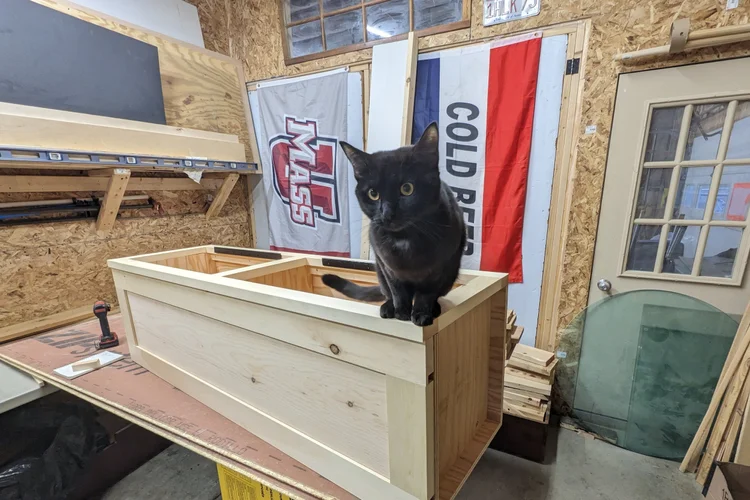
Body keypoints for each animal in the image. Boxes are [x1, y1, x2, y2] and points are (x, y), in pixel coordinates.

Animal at [322, 122, 466, 326]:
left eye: (407, 189)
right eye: (373, 194)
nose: (387, 213)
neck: (405, 239)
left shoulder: (439, 269)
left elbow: (426, 294)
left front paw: (421, 314)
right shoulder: (387, 267)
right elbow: (397, 291)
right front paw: (401, 313)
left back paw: (434, 309)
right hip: (379, 270)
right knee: (387, 292)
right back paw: (388, 307)